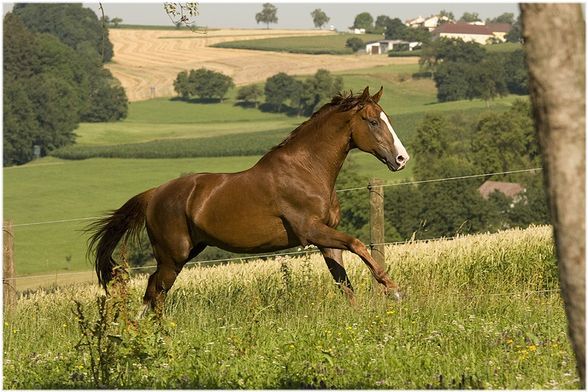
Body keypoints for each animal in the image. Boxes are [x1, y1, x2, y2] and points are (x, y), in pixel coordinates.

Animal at [88, 86, 408, 312]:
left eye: (388, 120)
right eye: (372, 122)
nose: (401, 159)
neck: (306, 170)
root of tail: (154, 194)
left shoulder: (325, 238)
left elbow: (343, 281)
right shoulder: (311, 231)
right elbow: (358, 244)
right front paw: (392, 288)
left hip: (184, 252)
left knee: (152, 289)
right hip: (172, 255)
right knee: (157, 291)